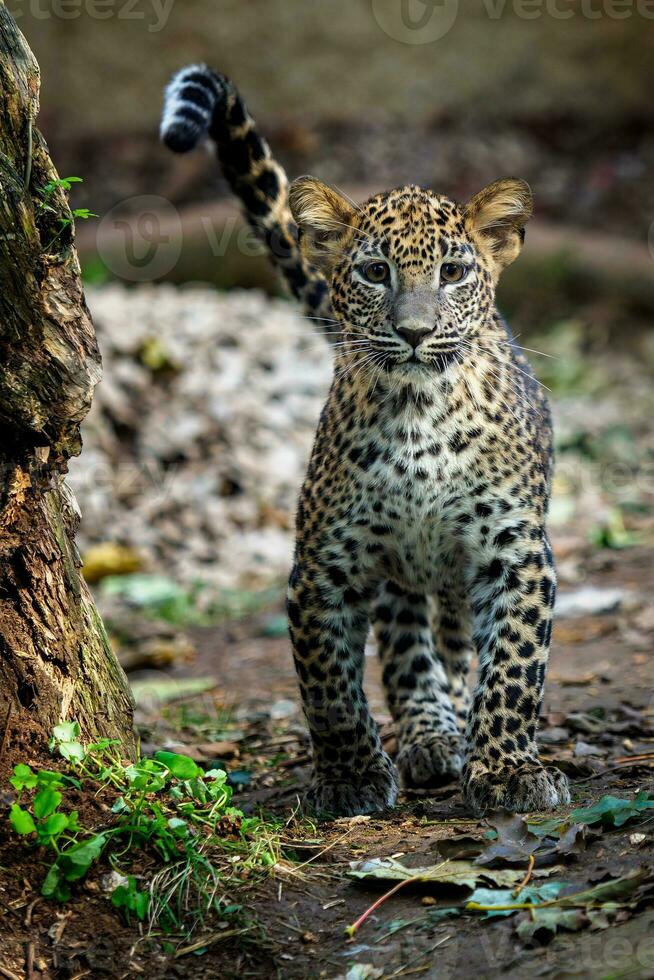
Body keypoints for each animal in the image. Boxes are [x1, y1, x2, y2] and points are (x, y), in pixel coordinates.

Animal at [161, 59, 572, 812]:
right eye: (375, 271)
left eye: (452, 272)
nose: (413, 331)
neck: (420, 414)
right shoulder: (325, 562)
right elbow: (328, 685)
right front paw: (351, 775)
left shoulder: (515, 550)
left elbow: (513, 670)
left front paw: (508, 771)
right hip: (397, 571)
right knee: (408, 645)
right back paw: (429, 735)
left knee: (453, 641)